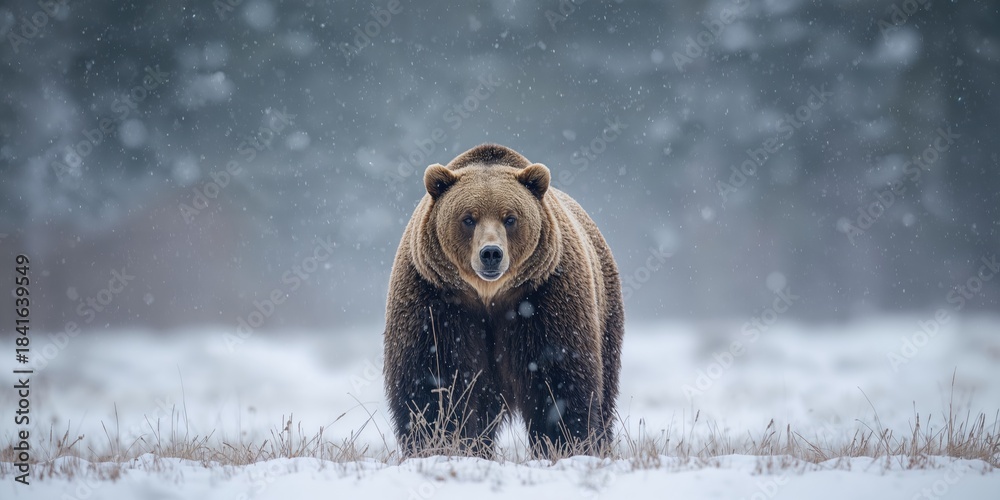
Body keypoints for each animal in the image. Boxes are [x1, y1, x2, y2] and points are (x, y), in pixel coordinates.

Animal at [383, 143, 624, 457]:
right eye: (468, 218)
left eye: (510, 218)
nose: (491, 253)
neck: (489, 298)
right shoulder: (436, 301)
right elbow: (433, 380)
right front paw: (437, 444)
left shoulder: (545, 299)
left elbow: (558, 379)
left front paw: (562, 445)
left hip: (606, 311)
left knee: (605, 387)